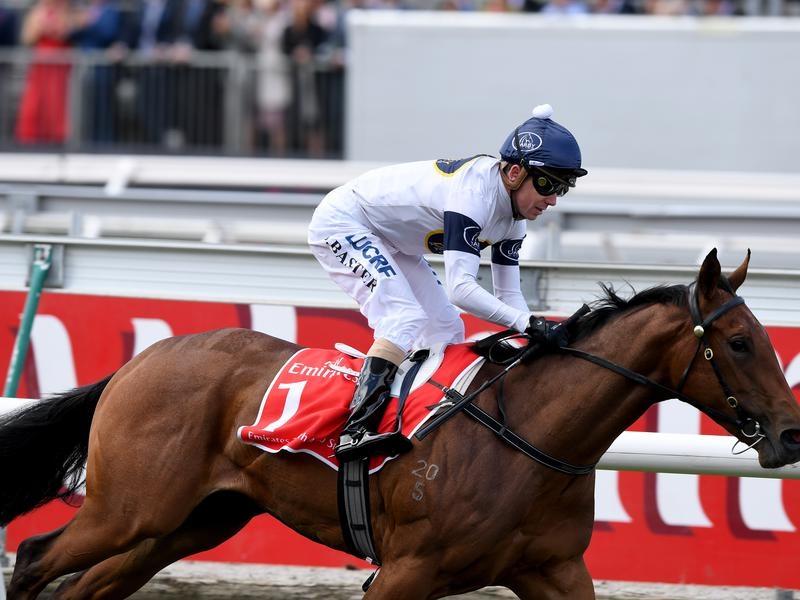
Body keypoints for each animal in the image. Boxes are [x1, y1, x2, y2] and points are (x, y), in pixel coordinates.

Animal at [1, 248, 799, 600]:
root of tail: (140, 363)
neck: (530, 438)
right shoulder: (405, 573)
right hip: (130, 508)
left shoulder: (553, 569)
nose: (793, 434)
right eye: (738, 343)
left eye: (764, 337)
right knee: (36, 557)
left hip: (188, 522)